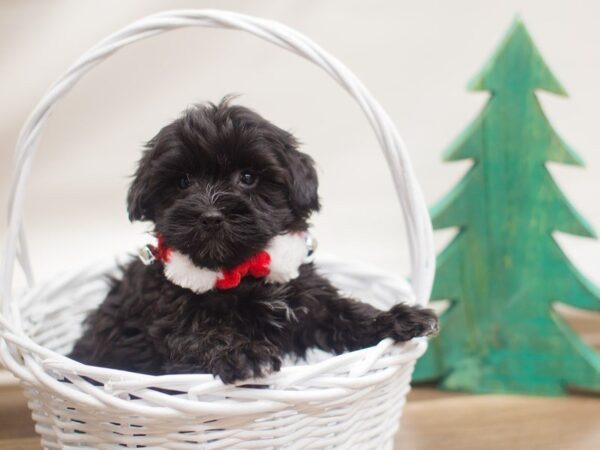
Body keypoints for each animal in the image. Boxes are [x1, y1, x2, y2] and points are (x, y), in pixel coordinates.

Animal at [69, 99, 436, 384]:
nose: (211, 216)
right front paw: (243, 354)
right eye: (183, 182)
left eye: (248, 177)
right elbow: (203, 335)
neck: (242, 270)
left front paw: (398, 318)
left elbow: (344, 312)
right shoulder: (170, 316)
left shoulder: (309, 299)